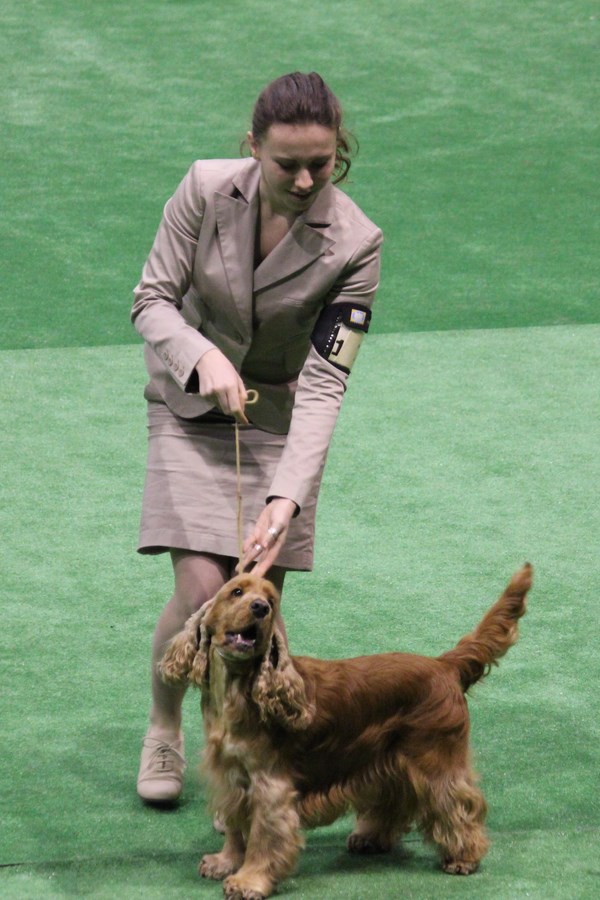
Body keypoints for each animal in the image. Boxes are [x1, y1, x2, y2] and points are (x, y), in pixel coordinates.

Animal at [160, 563, 532, 899]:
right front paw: (224, 862)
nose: (260, 608)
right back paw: (371, 838)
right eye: (236, 592)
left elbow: (264, 839)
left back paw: (463, 856)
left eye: (271, 600)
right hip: (388, 758)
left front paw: (249, 881)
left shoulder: (270, 787)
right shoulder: (232, 777)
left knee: (458, 805)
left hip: (435, 760)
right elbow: (236, 830)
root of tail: (444, 666)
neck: (239, 692)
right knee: (395, 799)